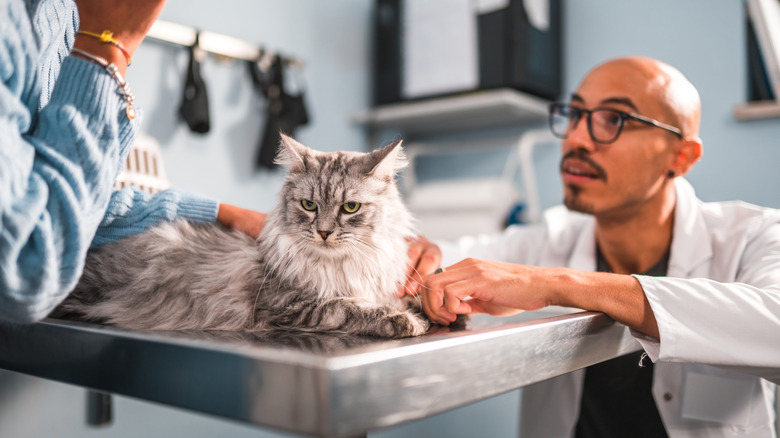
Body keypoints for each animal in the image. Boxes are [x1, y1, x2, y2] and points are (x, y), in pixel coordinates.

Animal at [53, 133, 432, 338]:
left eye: (350, 208)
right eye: (309, 205)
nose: (323, 232)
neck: (342, 265)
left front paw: (423, 304)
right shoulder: (290, 306)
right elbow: (348, 307)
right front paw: (403, 319)